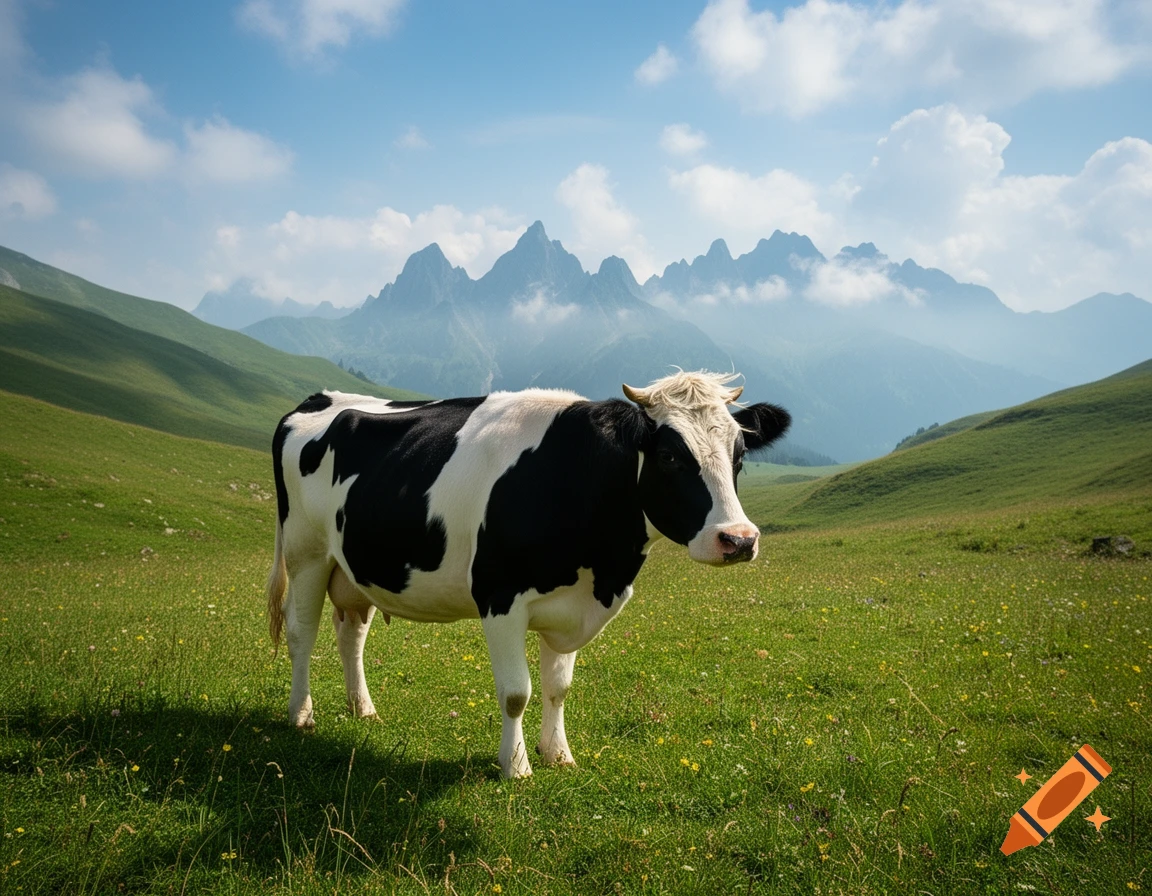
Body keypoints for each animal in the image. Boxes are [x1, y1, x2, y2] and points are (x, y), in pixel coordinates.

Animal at [266, 370, 790, 778]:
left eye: (740, 454)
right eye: (670, 456)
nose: (739, 539)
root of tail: (320, 398)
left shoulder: (570, 604)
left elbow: (559, 688)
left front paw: (558, 754)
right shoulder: (499, 597)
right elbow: (517, 692)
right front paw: (515, 765)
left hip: (353, 566)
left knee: (351, 634)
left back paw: (364, 709)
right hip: (306, 552)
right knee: (301, 633)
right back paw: (301, 715)